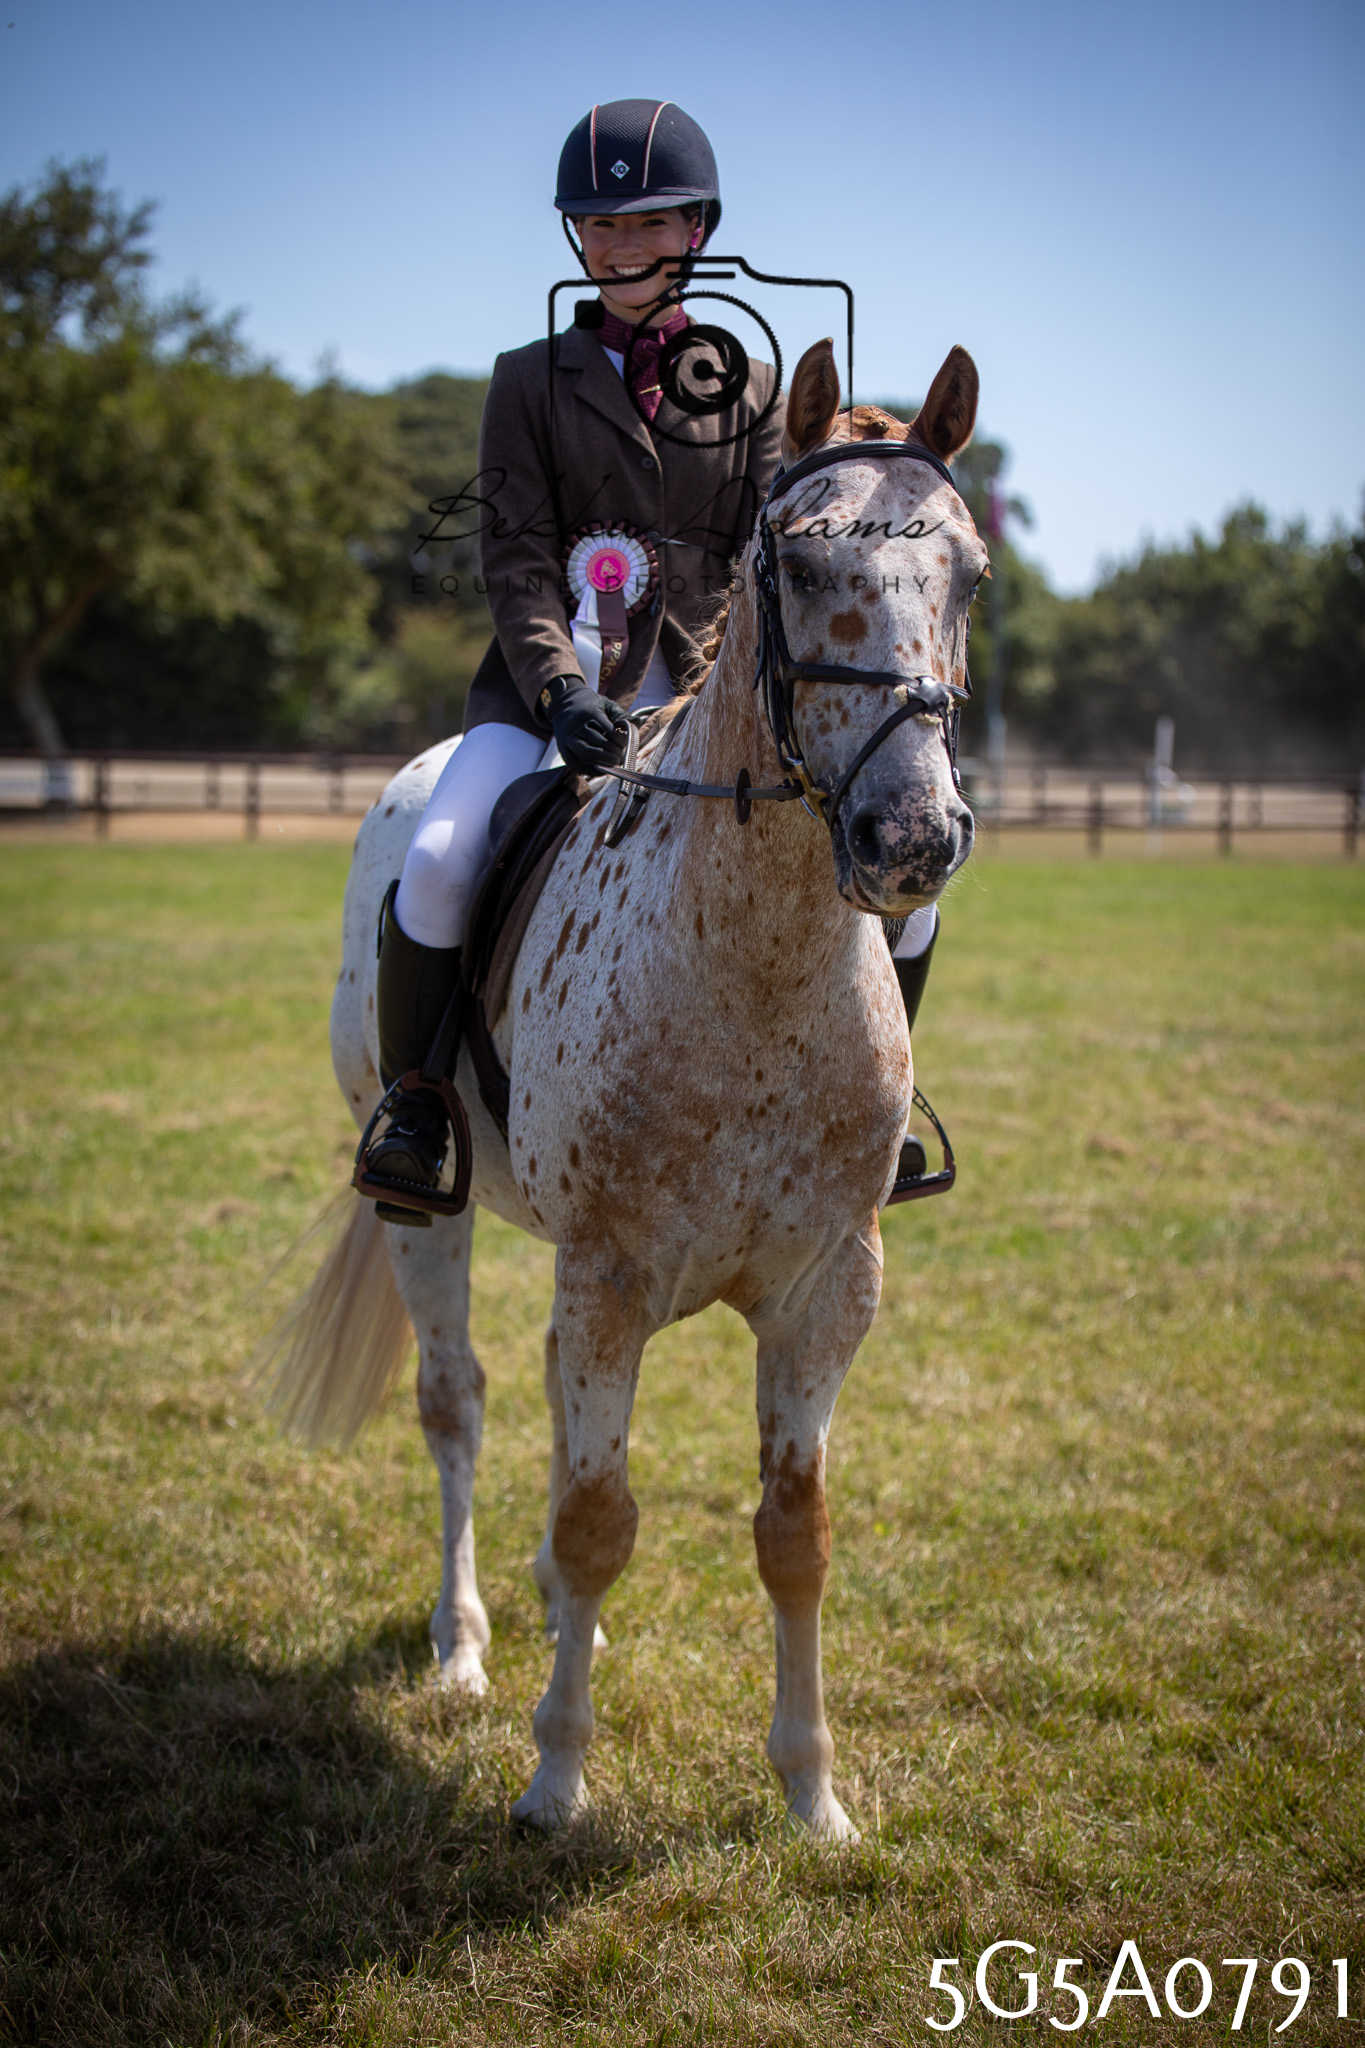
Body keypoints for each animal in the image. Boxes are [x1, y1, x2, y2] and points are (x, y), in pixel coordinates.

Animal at [267, 338, 986, 1838]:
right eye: (793, 565)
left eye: (971, 574)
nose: (911, 836)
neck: (758, 968)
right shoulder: (608, 1275)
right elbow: (603, 1520)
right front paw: (554, 1782)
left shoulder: (829, 1289)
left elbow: (793, 1534)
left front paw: (813, 1797)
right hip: (425, 1211)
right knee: (461, 1401)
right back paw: (466, 1645)